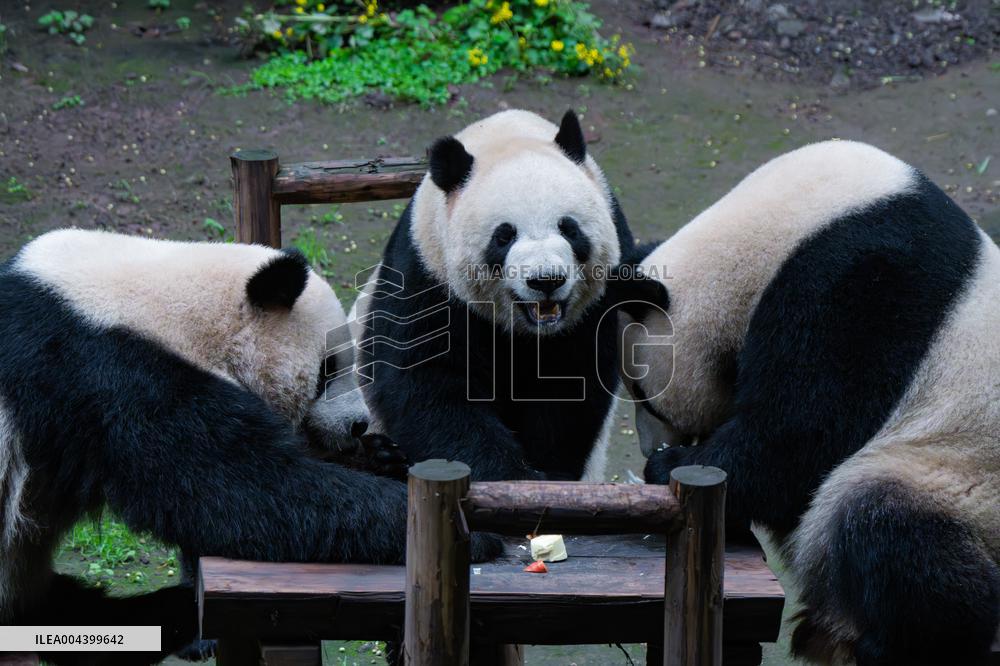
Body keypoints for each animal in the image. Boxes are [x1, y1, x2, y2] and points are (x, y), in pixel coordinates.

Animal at [0, 229, 497, 664]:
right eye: (327, 369)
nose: (357, 425)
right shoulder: (104, 374)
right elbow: (234, 488)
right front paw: (473, 536)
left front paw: (383, 456)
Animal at [353, 109, 644, 482]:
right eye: (504, 236)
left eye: (569, 228)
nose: (545, 280)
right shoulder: (427, 272)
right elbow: (426, 381)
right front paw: (510, 475)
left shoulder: (601, 295)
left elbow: (571, 388)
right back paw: (381, 456)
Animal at [617, 140, 1000, 665]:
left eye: (641, 394)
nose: (645, 447)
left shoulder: (865, 281)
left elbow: (801, 435)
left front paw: (672, 465)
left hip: (960, 482)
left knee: (890, 529)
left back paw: (898, 642)